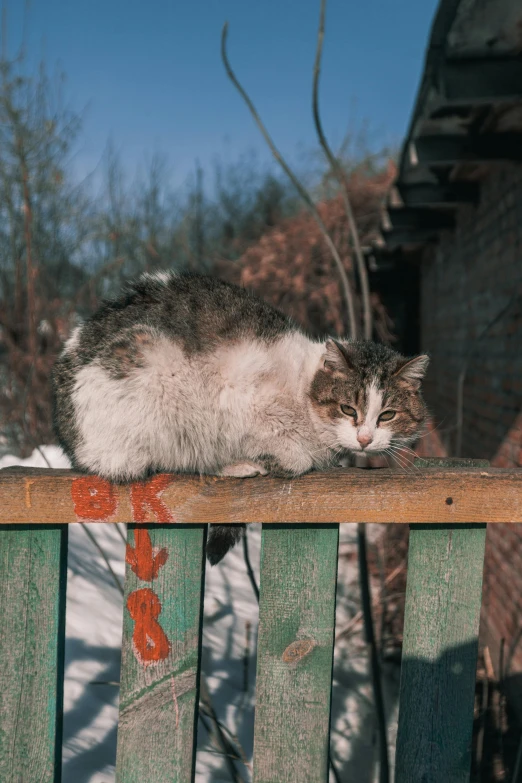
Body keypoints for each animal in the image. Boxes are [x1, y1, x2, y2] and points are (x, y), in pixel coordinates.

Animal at [50, 272, 428, 564]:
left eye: (387, 415)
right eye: (348, 409)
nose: (364, 439)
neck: (303, 388)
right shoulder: (241, 396)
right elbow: (291, 453)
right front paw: (281, 458)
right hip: (159, 394)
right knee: (179, 460)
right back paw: (238, 464)